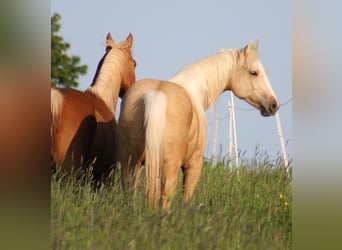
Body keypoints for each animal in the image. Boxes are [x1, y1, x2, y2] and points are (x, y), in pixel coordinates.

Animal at [116, 41, 280, 209]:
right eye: (254, 72)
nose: (274, 104)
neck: (194, 94)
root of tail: (155, 94)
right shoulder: (193, 166)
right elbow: (186, 200)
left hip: (130, 166)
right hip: (167, 169)